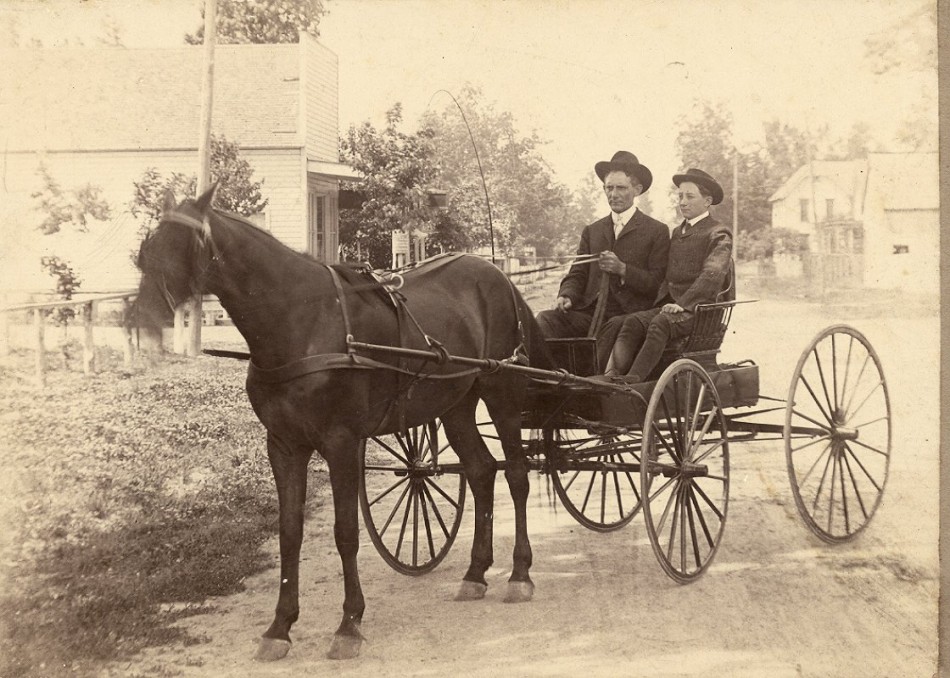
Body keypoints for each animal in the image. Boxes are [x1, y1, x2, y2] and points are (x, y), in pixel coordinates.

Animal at [134, 187, 552, 664]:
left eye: (182, 248)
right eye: (145, 253)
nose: (142, 326)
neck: (302, 321)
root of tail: (498, 275)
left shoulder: (341, 443)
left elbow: (346, 532)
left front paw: (349, 623)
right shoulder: (283, 445)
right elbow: (289, 531)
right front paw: (280, 626)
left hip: (501, 393)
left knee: (516, 475)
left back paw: (519, 573)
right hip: (455, 405)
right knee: (481, 472)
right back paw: (476, 573)